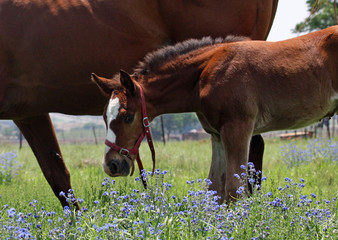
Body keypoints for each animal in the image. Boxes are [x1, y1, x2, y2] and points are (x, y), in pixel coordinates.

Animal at [91, 25, 336, 202]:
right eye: (104, 118)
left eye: (128, 116)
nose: (111, 165)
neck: (203, 75)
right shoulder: (217, 134)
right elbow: (215, 187)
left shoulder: (238, 127)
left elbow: (235, 190)